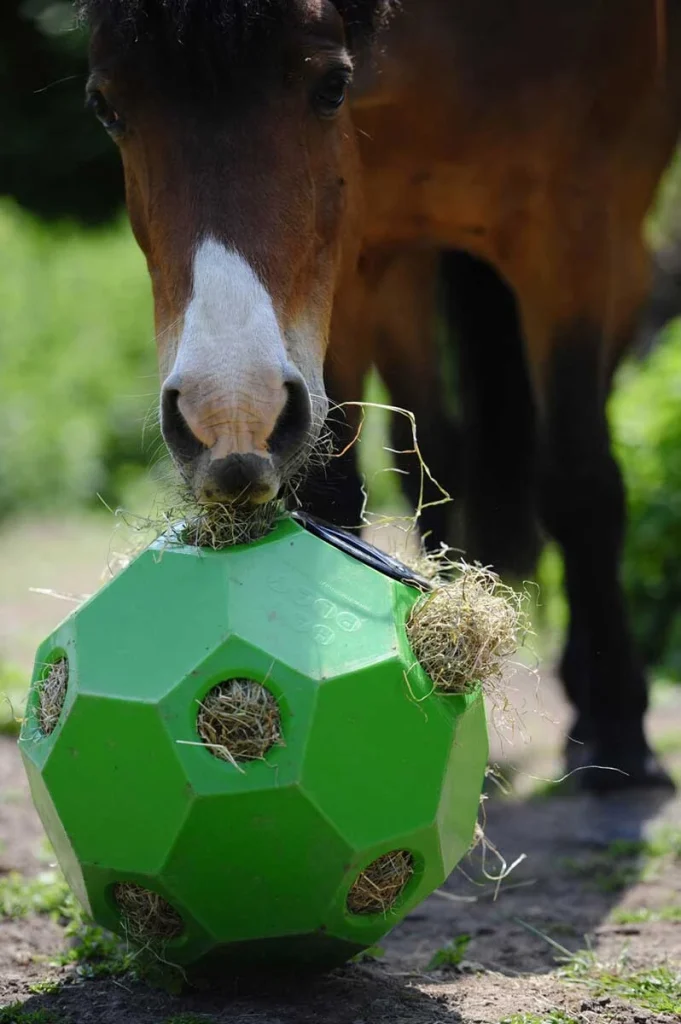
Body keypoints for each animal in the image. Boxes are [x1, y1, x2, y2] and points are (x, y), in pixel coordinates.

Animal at [79, 0, 681, 792]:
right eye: (107, 106)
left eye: (332, 86)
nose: (229, 420)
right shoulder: (351, 262)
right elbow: (334, 491)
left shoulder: (574, 229)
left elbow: (580, 484)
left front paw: (617, 732)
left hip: (620, 253)